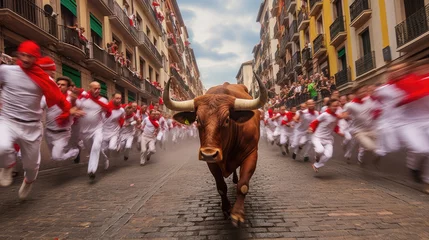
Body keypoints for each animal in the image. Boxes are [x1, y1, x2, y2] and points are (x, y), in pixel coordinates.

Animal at [162, 72, 266, 225]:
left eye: (227, 120)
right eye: (197, 120)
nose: (209, 154)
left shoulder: (252, 154)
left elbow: (243, 185)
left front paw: (237, 213)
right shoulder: (211, 163)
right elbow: (221, 187)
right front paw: (226, 209)